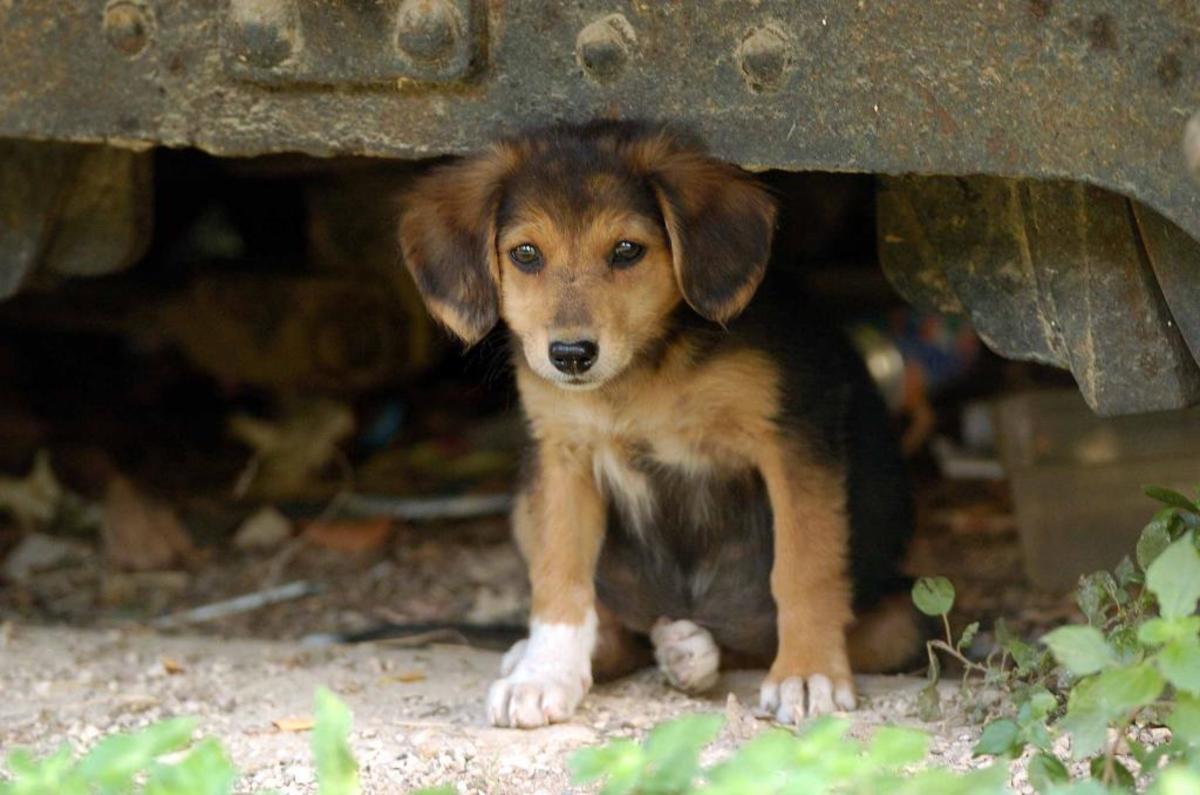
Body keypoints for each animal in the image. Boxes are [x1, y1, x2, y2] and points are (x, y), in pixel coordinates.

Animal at [400, 123, 916, 730]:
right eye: (526, 254)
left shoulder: (794, 434)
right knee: (624, 633)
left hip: (901, 620)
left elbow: (802, 567)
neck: (641, 374)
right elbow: (559, 577)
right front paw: (544, 675)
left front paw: (807, 673)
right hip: (525, 502)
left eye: (627, 250)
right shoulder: (560, 453)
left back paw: (693, 651)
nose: (570, 355)